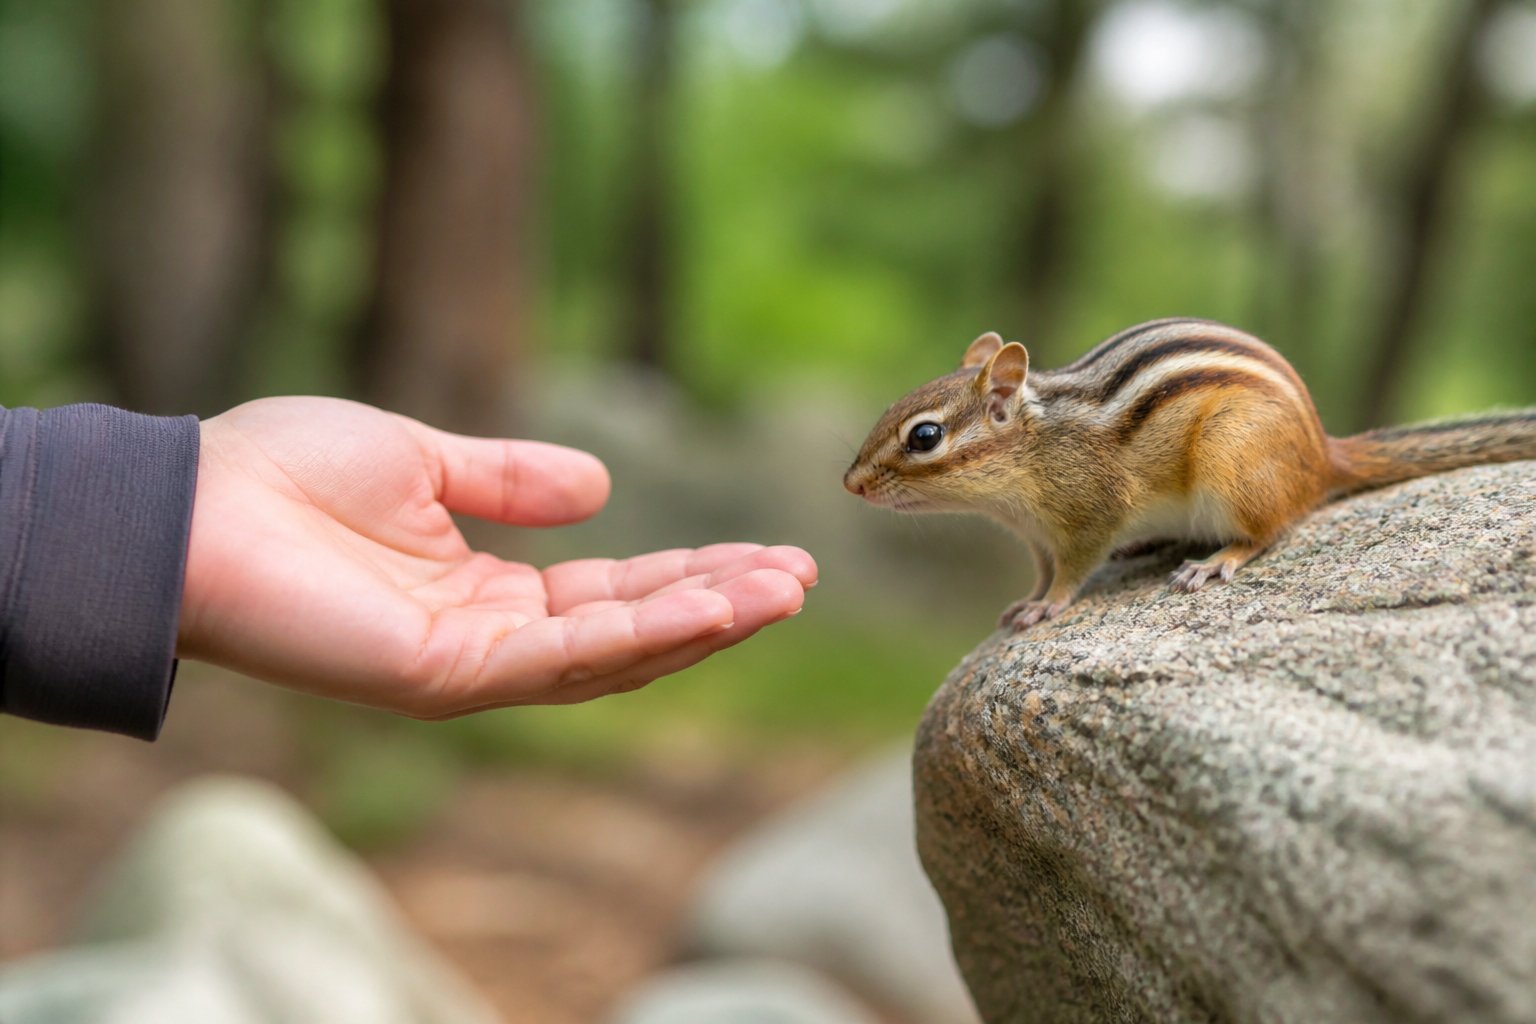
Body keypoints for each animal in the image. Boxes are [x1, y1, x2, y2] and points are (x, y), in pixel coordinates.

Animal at [843, 317, 1536, 630]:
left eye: (925, 436)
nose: (851, 485)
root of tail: (1320, 453)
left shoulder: (1089, 514)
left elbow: (1071, 572)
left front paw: (1048, 606)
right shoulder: (1036, 537)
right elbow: (1041, 569)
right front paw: (1025, 599)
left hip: (1233, 458)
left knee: (1269, 530)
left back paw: (1215, 560)